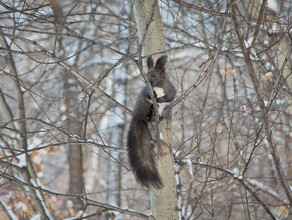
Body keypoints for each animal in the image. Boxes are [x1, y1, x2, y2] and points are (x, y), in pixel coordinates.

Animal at [126, 55, 176, 188]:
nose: (146, 81)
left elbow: (169, 97)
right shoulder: (146, 93)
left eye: (154, 75)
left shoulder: (170, 91)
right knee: (147, 115)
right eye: (146, 74)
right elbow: (149, 95)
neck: (157, 88)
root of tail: (137, 116)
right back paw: (152, 113)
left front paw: (160, 99)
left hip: (163, 110)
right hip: (143, 105)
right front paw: (154, 97)